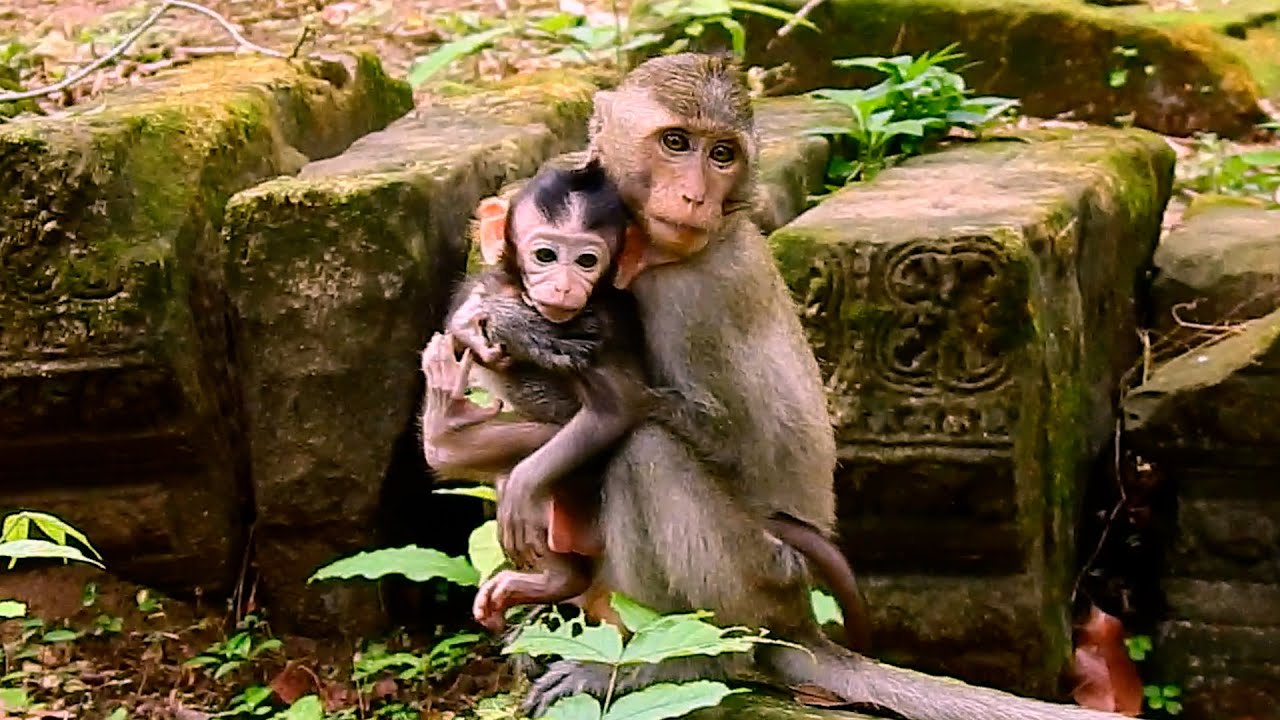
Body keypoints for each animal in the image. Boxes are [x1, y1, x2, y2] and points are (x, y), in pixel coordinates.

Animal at [423, 161, 872, 646]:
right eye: (545, 255)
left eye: (586, 260)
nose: (563, 287)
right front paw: (494, 320)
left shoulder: (649, 307)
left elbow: (628, 411)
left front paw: (512, 328)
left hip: (757, 572)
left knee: (642, 444)